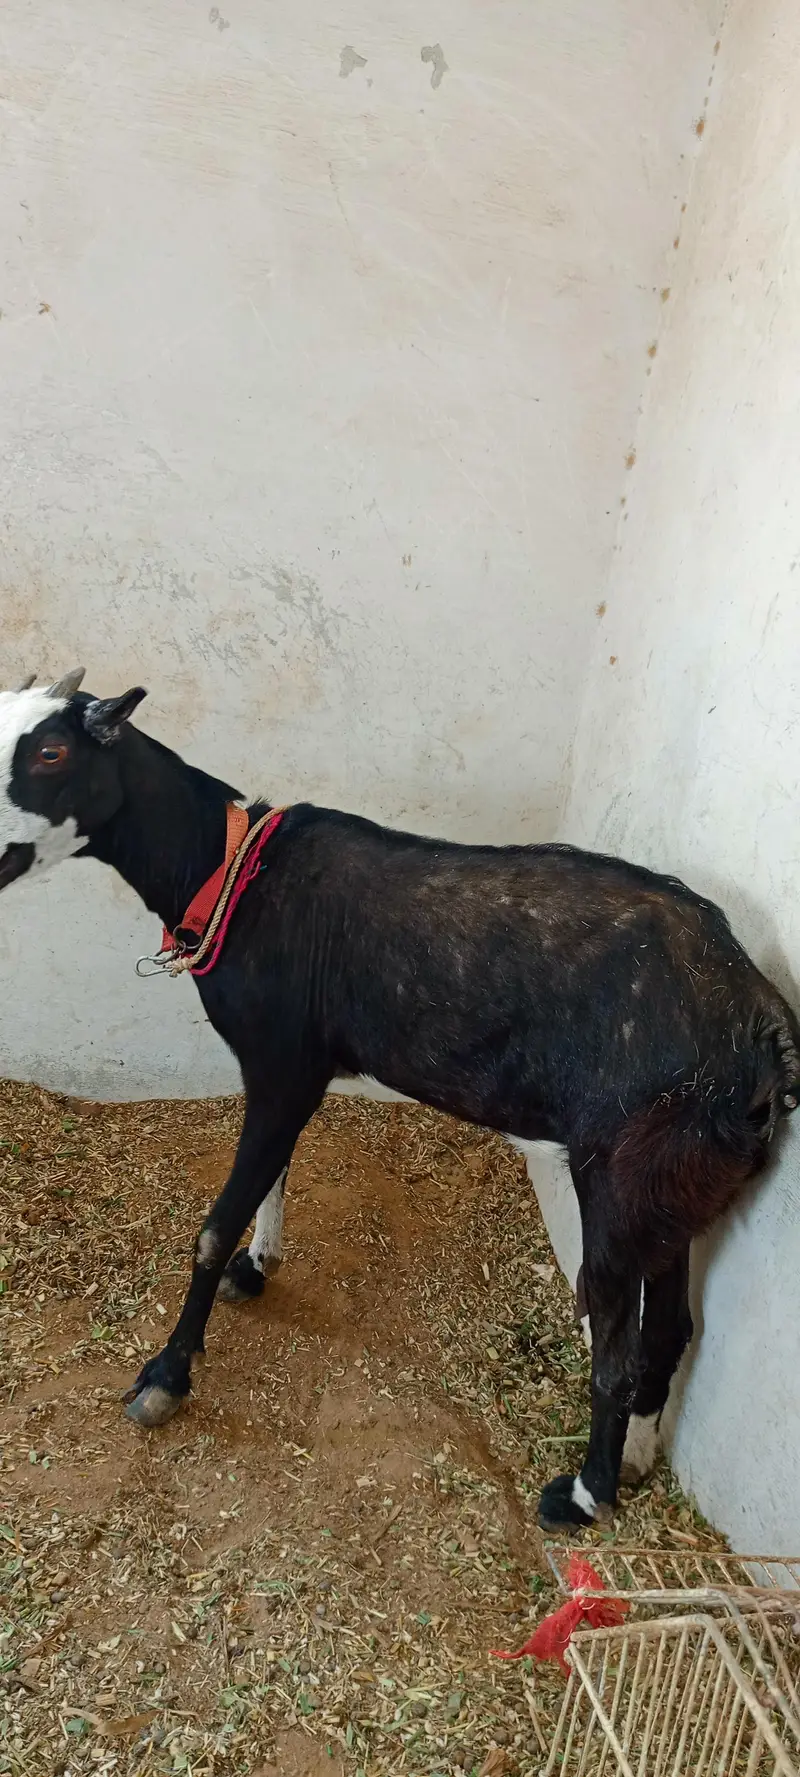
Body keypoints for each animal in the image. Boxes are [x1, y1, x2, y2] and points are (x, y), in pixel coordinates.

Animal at [0, 670, 798, 1531]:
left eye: (51, 751)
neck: (231, 871)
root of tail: (759, 1023)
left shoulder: (284, 1064)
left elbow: (213, 1227)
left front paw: (166, 1376)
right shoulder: (287, 1072)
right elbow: (273, 1177)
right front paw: (260, 1263)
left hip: (622, 1173)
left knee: (616, 1350)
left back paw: (584, 1494)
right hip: (675, 1187)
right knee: (673, 1327)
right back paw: (642, 1455)